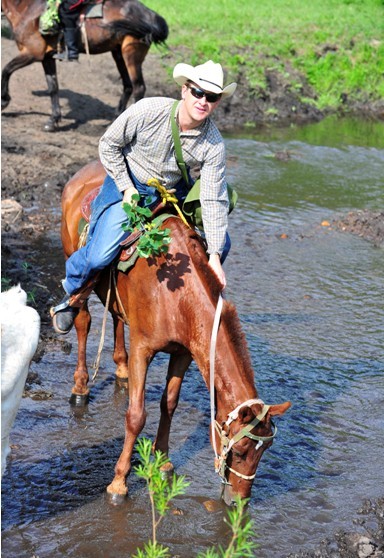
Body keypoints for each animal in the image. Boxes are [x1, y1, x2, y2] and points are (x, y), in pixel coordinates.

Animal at [1, 0, 167, 132]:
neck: (28, 9)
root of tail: (152, 16)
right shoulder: (47, 57)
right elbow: (53, 87)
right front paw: (53, 120)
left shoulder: (32, 53)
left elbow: (6, 70)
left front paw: (4, 100)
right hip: (118, 54)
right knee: (128, 86)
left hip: (131, 55)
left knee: (139, 88)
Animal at [59, 160, 292, 506]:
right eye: (239, 450)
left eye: (266, 450)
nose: (238, 502)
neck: (176, 293)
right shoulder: (143, 349)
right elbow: (136, 415)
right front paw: (119, 483)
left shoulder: (184, 353)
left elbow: (169, 404)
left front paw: (164, 461)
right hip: (75, 265)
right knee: (83, 319)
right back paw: (80, 385)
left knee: (116, 317)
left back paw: (120, 368)